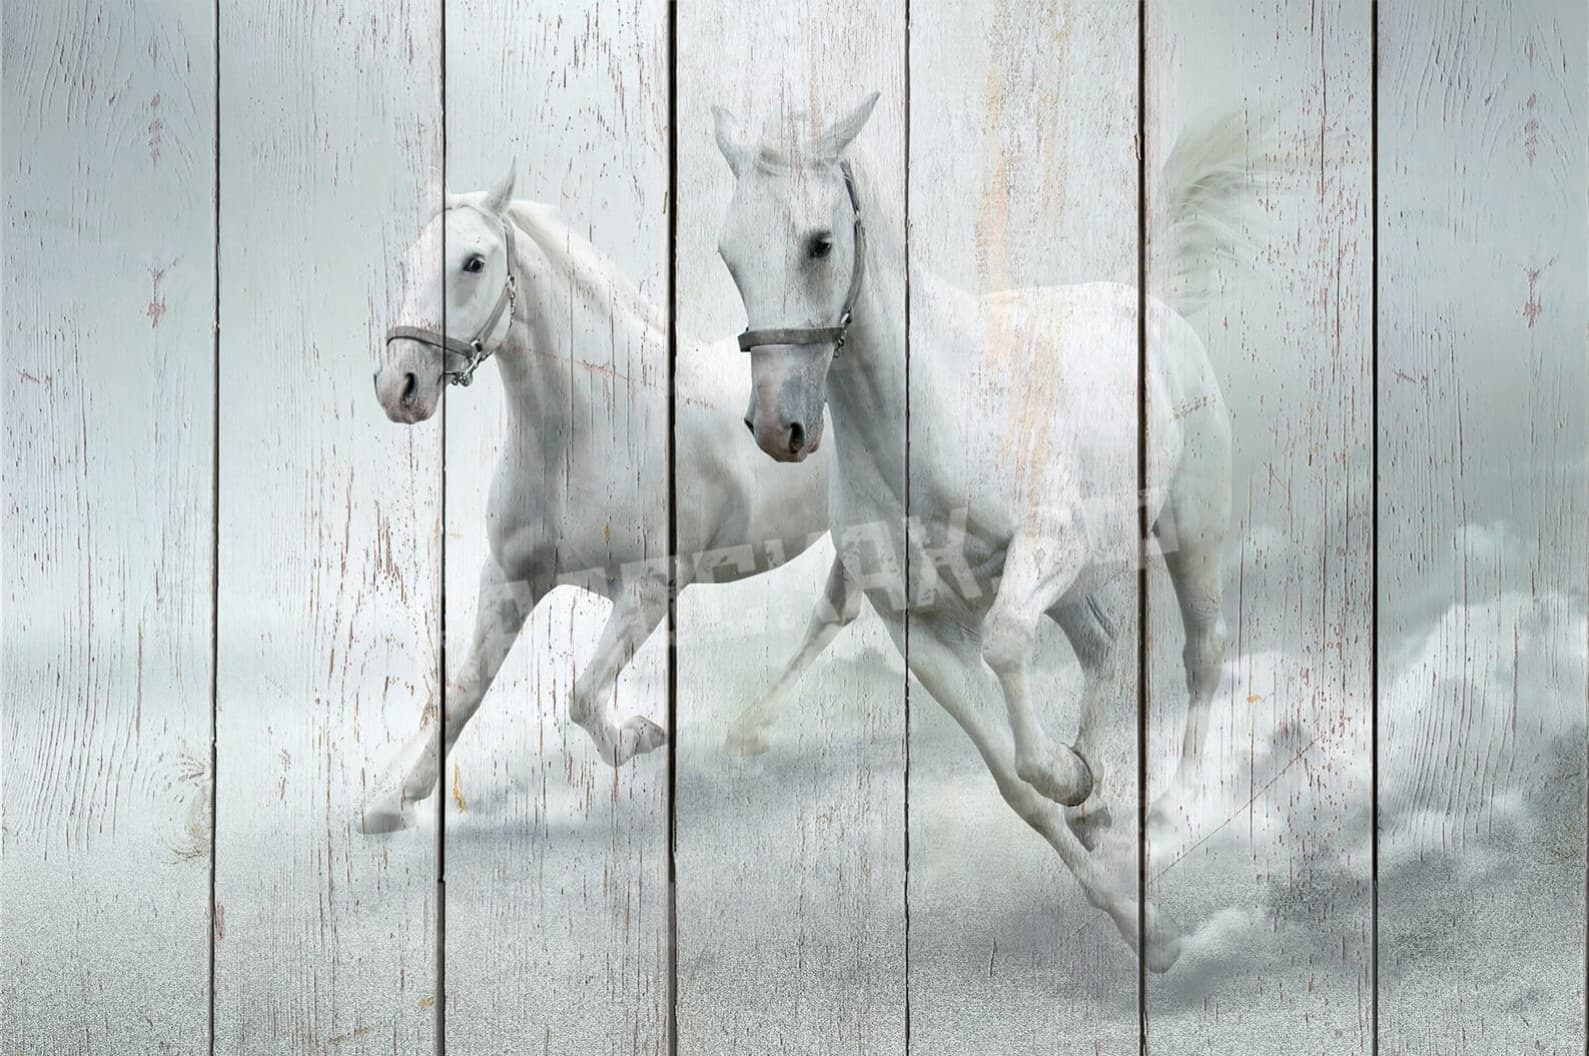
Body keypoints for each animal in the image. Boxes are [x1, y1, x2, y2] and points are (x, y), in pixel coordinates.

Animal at [362, 169, 856, 833]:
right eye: (406, 260)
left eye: (473, 262)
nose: (400, 387)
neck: (593, 425)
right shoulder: (508, 580)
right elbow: (462, 693)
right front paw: (393, 801)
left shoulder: (649, 587)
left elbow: (582, 694)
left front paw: (640, 736)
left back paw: (748, 732)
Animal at [711, 93, 1249, 971]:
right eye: (729, 253)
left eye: (818, 243)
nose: (778, 428)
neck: (927, 422)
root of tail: (1154, 308)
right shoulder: (921, 629)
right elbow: (1014, 786)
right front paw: (1132, 912)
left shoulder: (1043, 551)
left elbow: (1005, 658)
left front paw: (1070, 779)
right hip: (1072, 591)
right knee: (1101, 645)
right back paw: (1100, 801)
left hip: (1189, 533)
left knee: (1201, 655)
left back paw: (1170, 809)